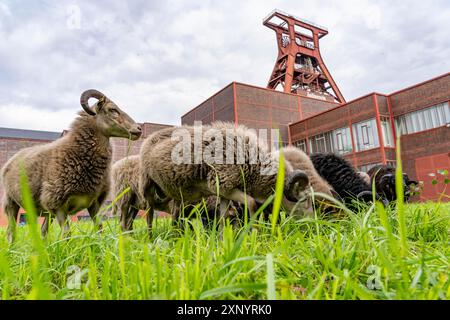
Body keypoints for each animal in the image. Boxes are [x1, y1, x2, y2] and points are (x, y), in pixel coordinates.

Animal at [0, 89, 142, 241]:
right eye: (112, 109)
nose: (139, 129)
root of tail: (12, 159)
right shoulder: (58, 204)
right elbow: (67, 234)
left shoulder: (93, 203)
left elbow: (99, 228)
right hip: (11, 202)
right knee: (11, 231)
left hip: (46, 210)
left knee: (43, 231)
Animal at [139, 121, 312, 234]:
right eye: (305, 200)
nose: (314, 224)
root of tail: (150, 137)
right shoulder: (223, 184)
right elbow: (251, 203)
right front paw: (254, 234)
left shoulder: (222, 193)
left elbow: (223, 217)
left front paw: (223, 241)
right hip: (147, 184)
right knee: (149, 214)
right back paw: (150, 237)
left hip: (173, 193)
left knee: (175, 215)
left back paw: (176, 236)